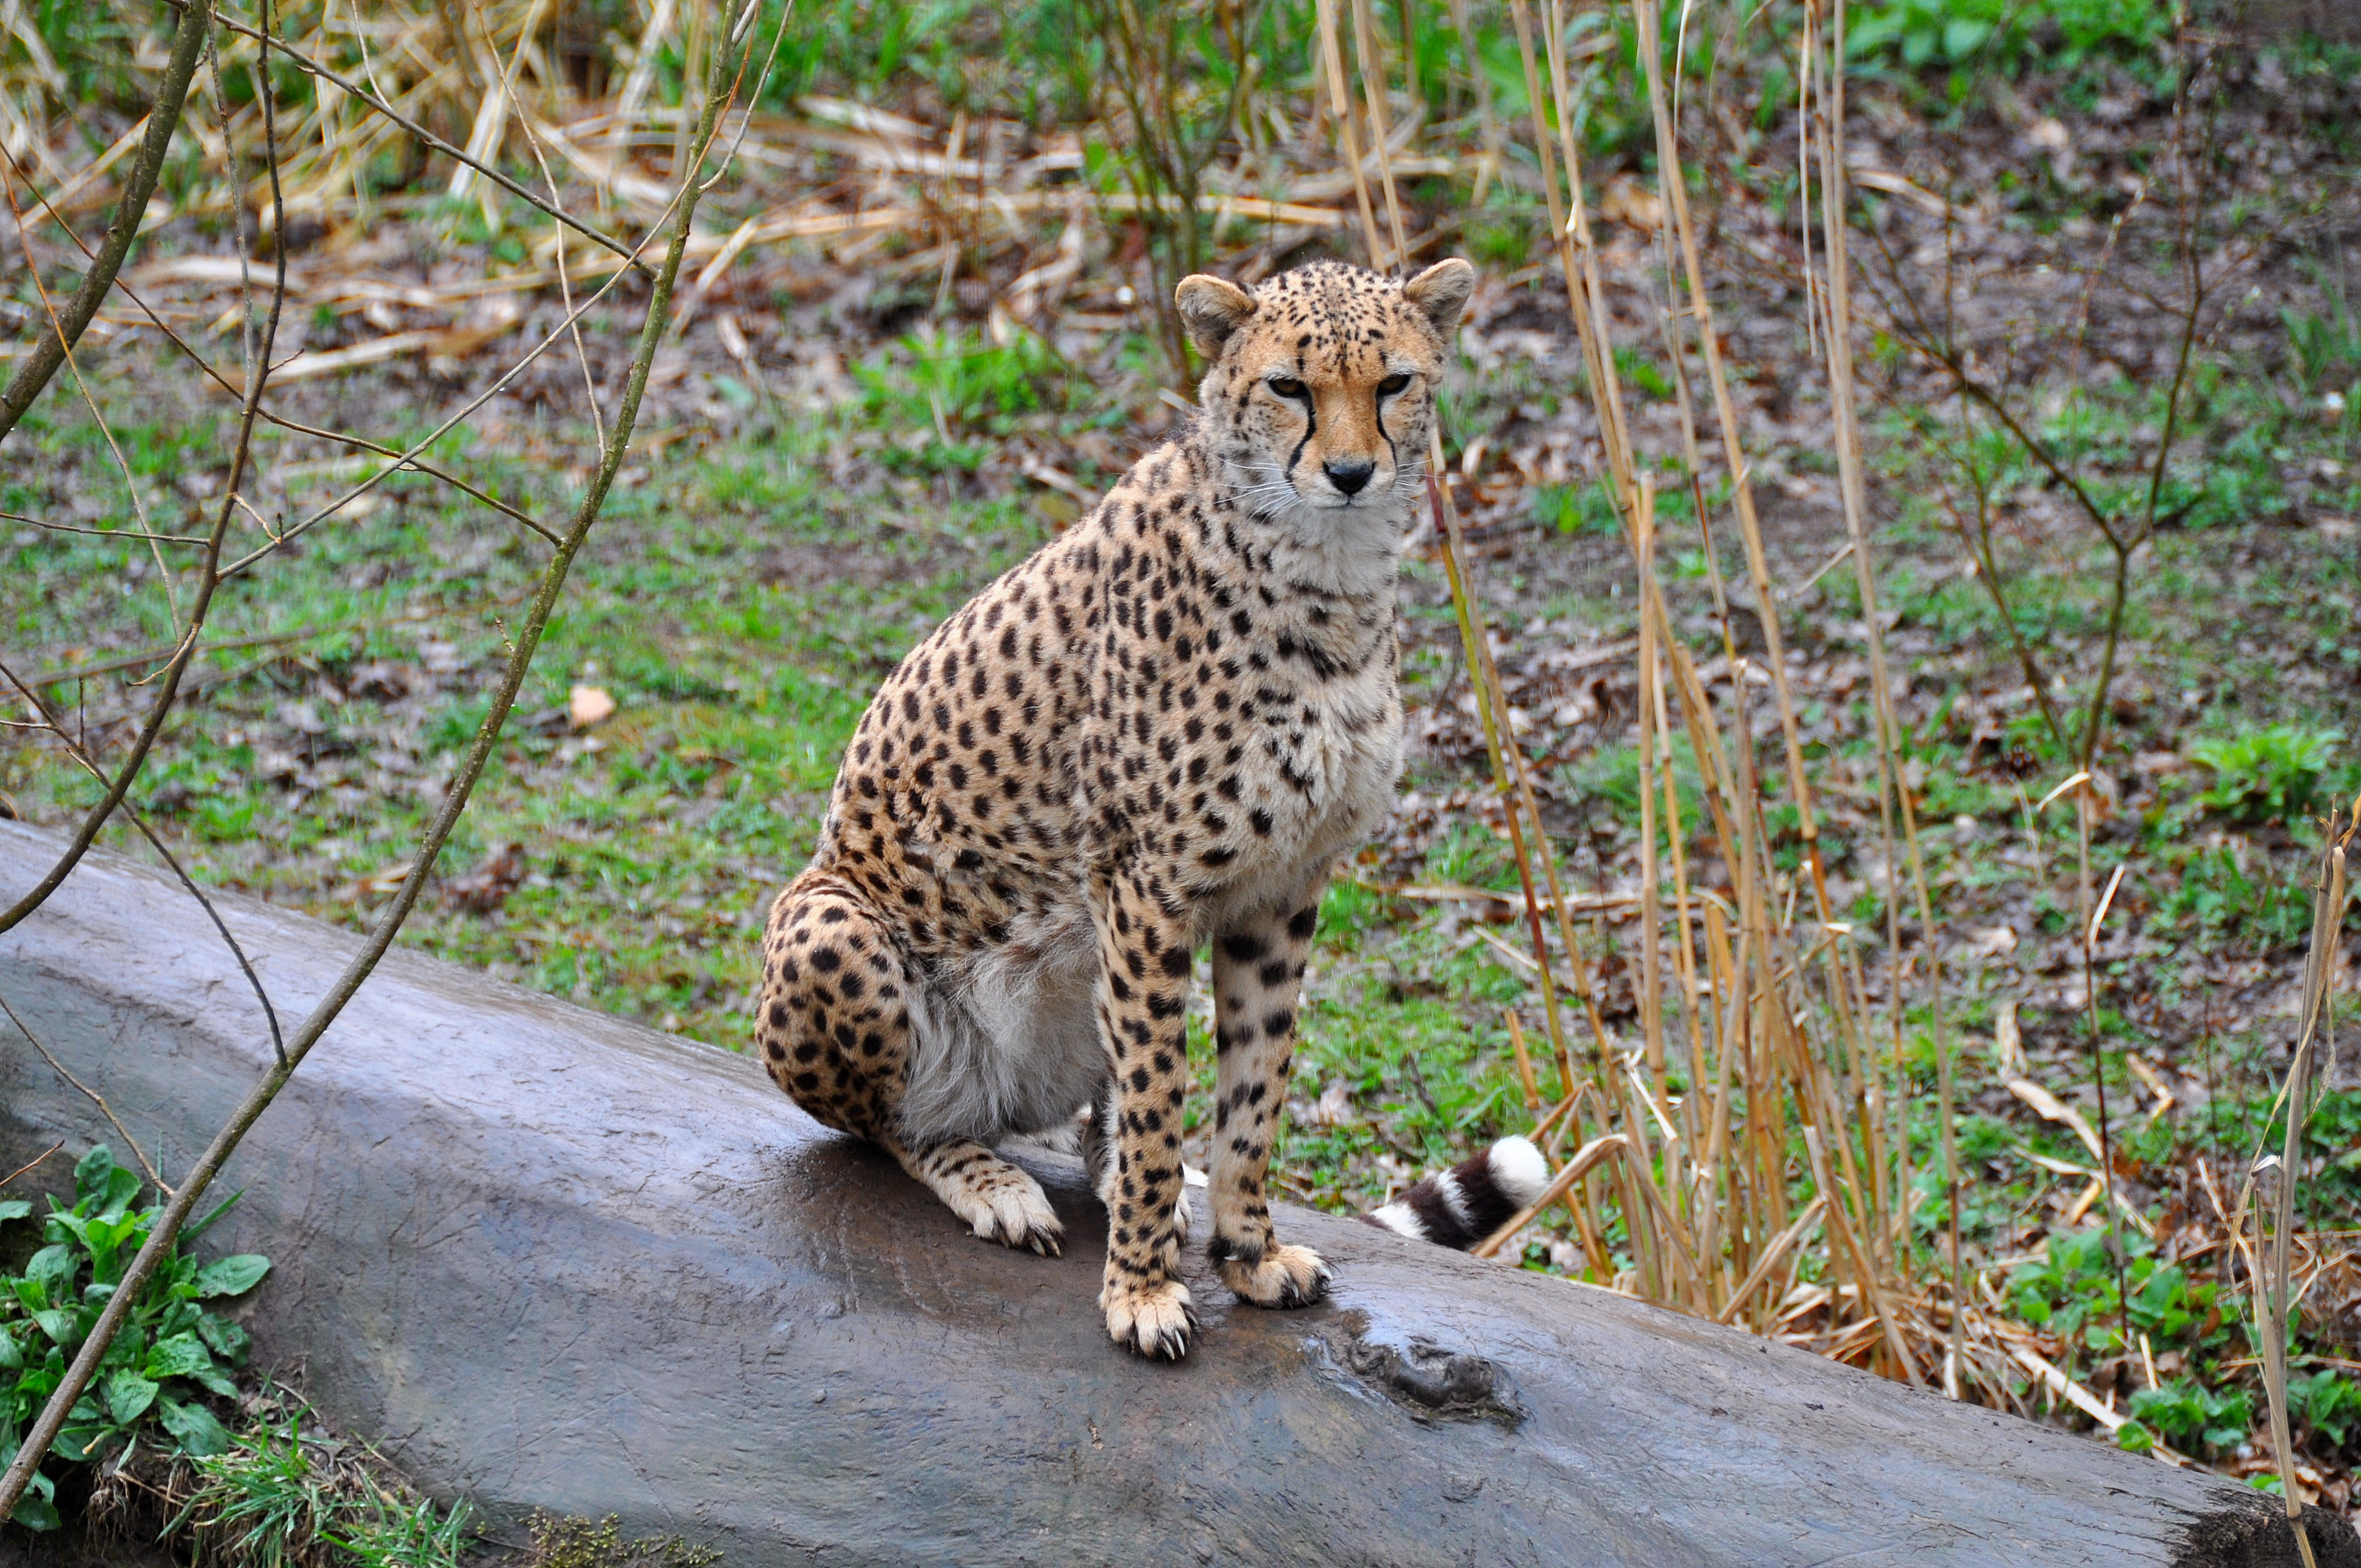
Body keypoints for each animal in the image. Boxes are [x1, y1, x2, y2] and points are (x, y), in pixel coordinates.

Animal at [755, 257, 1464, 1360]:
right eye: (1288, 388)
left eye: (1393, 383)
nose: (1352, 473)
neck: (1327, 572)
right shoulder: (1145, 886)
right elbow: (1164, 1094)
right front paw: (1139, 1292)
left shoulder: (1283, 888)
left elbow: (1252, 1090)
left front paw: (1247, 1251)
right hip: (830, 924)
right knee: (894, 1124)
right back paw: (993, 1181)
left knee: (1109, 1109)